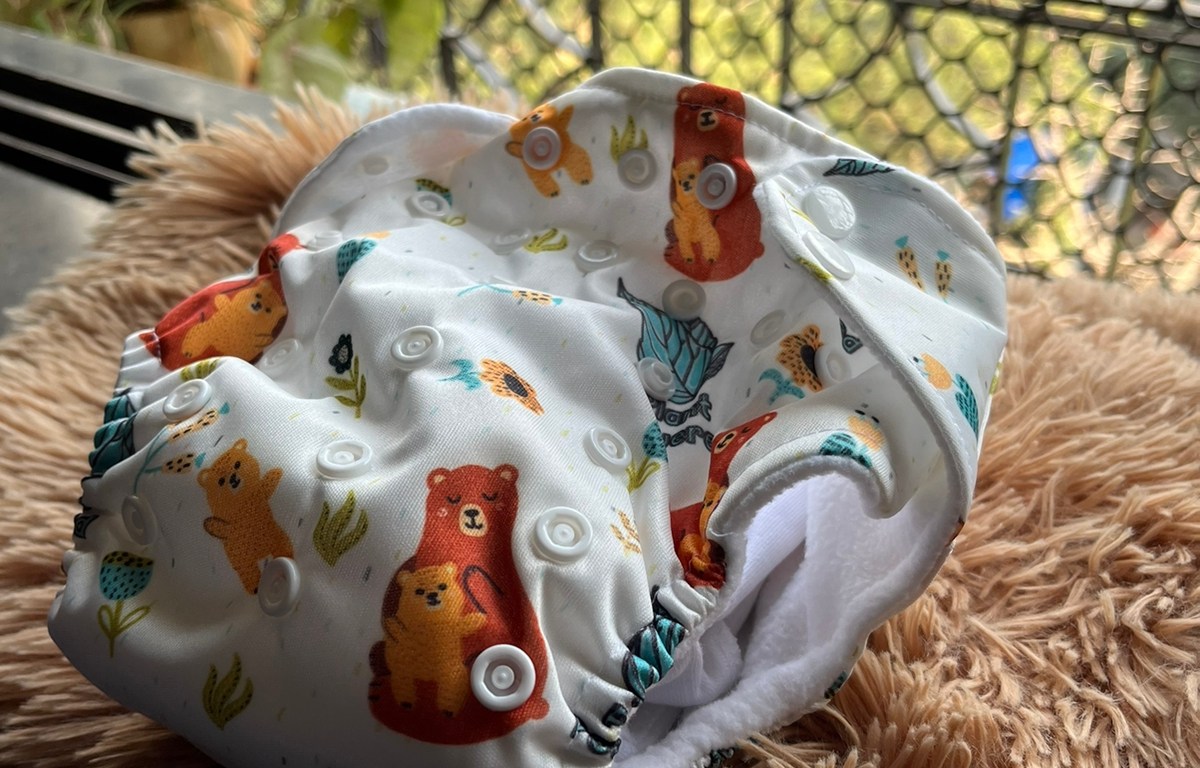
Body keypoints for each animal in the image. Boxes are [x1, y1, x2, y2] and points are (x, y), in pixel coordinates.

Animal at [197, 438, 293, 595]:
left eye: (237, 464)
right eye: (221, 481)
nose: (233, 478)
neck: (243, 506)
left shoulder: (259, 496)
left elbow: (265, 487)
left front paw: (275, 473)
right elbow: (222, 527)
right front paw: (210, 524)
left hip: (276, 536)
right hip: (241, 558)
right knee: (248, 571)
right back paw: (255, 587)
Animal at [383, 563, 487, 718]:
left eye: (442, 586)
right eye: (419, 591)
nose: (432, 595)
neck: (432, 622)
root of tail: (426, 676)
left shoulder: (454, 627)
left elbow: (463, 624)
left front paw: (479, 618)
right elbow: (399, 630)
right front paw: (392, 625)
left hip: (452, 672)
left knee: (450, 686)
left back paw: (448, 709)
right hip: (402, 669)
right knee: (402, 680)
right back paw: (407, 702)